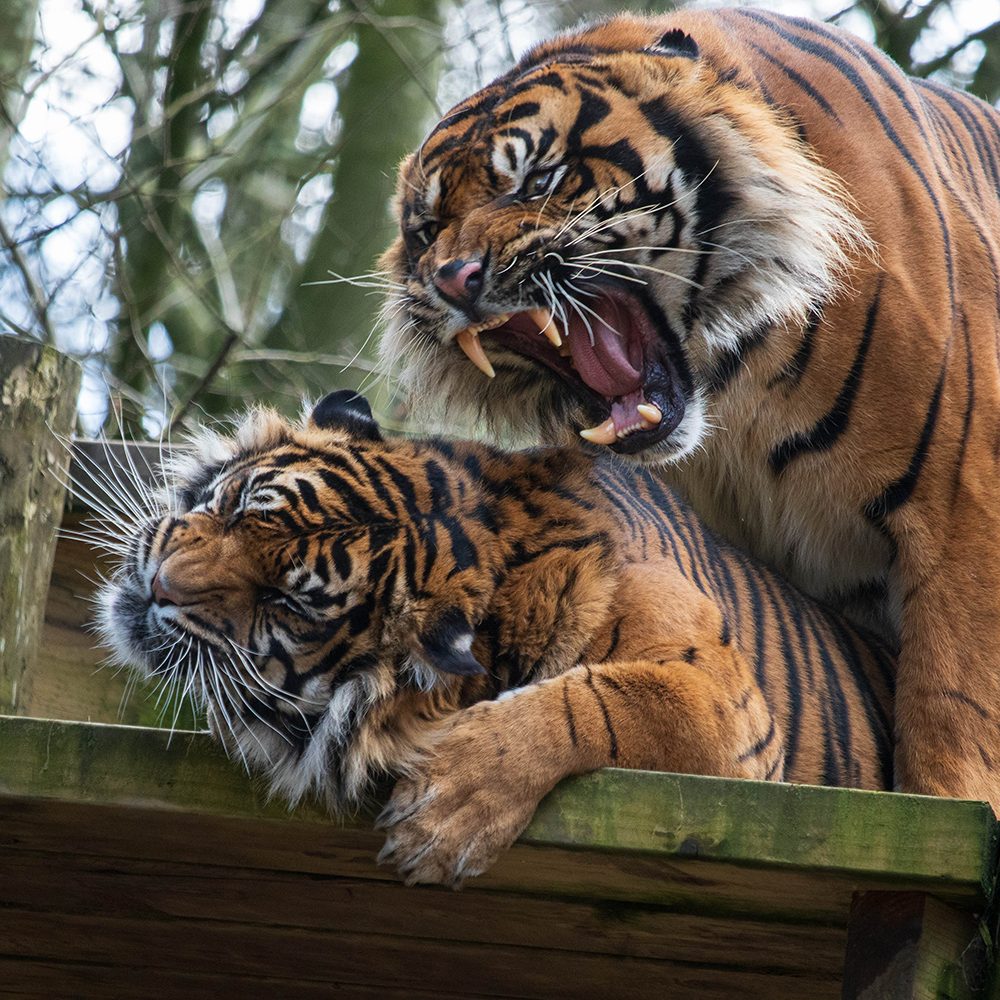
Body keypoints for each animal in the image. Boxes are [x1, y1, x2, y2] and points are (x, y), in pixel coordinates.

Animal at [94, 390, 892, 884]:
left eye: (285, 601)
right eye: (231, 504)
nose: (160, 584)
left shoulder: (726, 706)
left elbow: (610, 701)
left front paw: (450, 811)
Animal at [378, 9, 1000, 812]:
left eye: (538, 181)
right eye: (427, 229)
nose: (454, 278)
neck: (739, 380)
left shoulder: (964, 510)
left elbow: (952, 712)